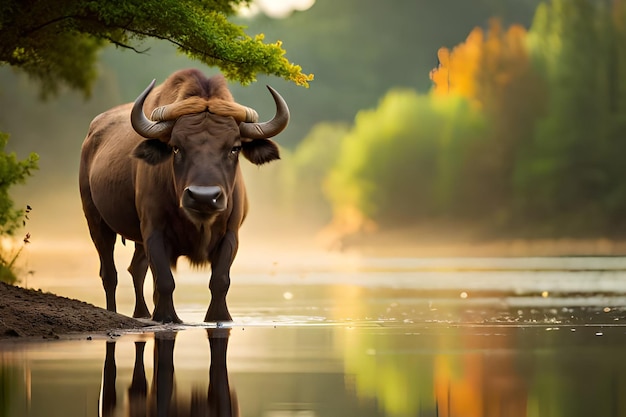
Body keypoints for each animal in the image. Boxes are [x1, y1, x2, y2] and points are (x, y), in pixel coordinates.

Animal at [78, 68, 290, 322]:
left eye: (234, 148)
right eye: (176, 147)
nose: (204, 197)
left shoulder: (231, 234)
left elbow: (220, 281)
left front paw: (218, 317)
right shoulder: (154, 231)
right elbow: (165, 280)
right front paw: (166, 317)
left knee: (136, 269)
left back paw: (142, 314)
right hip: (96, 221)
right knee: (110, 273)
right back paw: (114, 312)